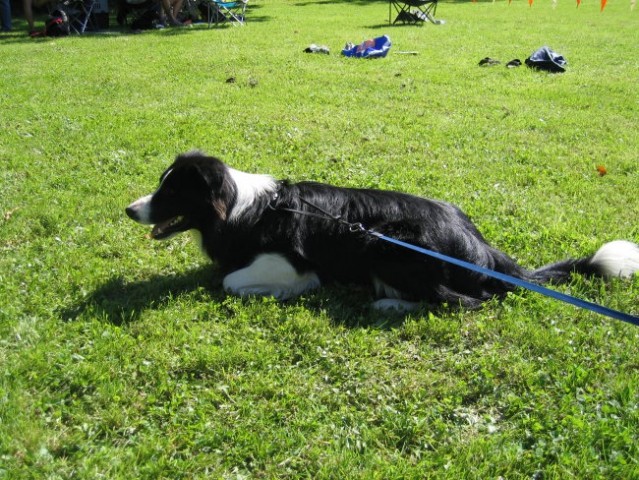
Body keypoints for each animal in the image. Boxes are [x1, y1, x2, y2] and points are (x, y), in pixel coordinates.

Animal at [126, 152, 639, 314]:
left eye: (170, 191)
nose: (129, 210)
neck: (236, 207)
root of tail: (483, 250)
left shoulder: (291, 262)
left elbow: (233, 281)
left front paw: (274, 293)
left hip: (388, 240)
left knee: (463, 301)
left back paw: (388, 303)